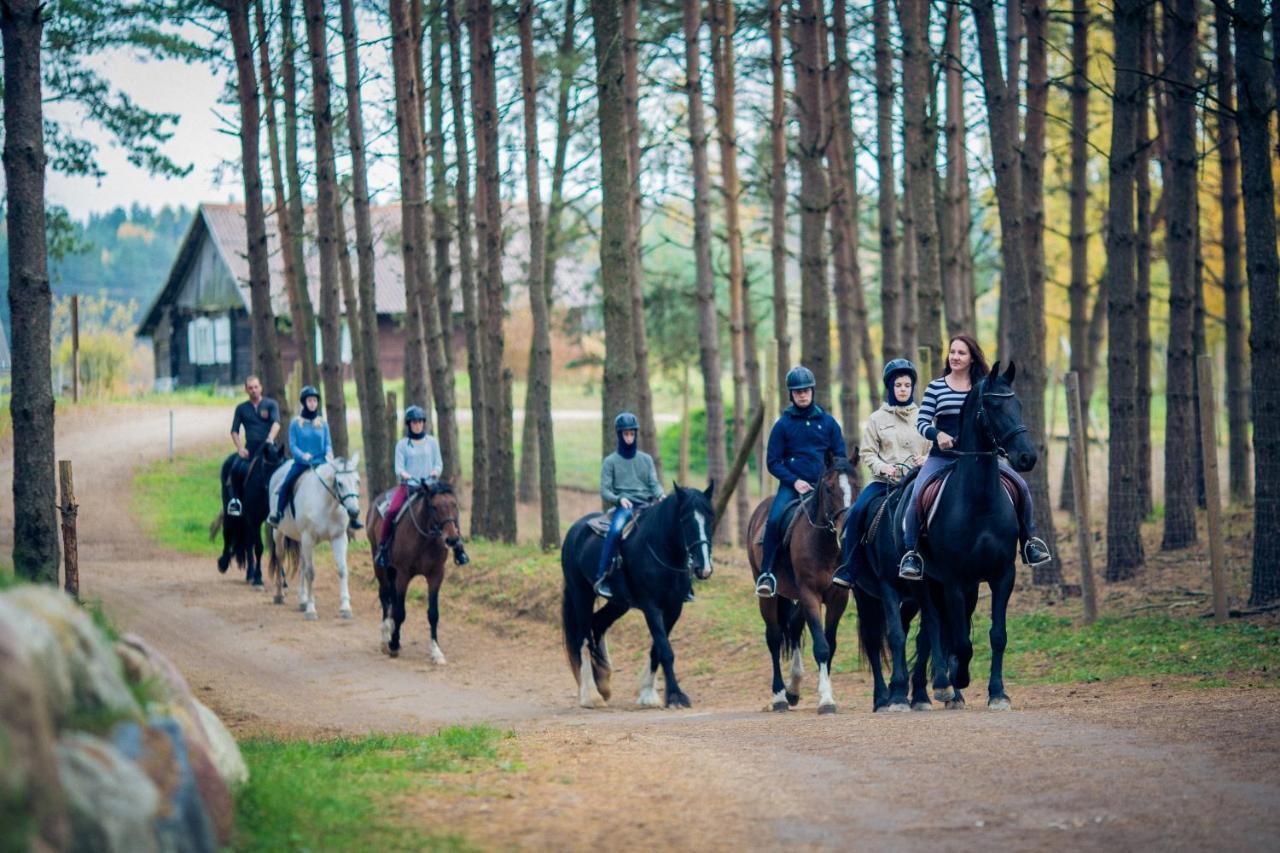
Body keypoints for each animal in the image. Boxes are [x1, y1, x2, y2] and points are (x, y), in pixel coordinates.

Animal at [213, 438, 284, 584]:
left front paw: (283, 580)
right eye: (266, 468)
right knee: (229, 532)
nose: (275, 491)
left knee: (248, 541)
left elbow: (277, 548)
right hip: (231, 512)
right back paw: (225, 564)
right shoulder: (254, 518)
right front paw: (258, 577)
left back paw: (249, 573)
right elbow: (259, 547)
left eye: (280, 468)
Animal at [267, 450, 363, 617]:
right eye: (339, 483)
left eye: (357, 481)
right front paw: (311, 610)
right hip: (279, 533)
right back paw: (279, 595)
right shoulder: (308, 538)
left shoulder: (338, 538)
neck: (327, 503)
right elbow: (311, 573)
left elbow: (342, 570)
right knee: (280, 558)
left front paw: (345, 608)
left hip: (302, 540)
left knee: (302, 564)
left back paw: (302, 600)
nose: (354, 512)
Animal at [368, 481, 463, 660]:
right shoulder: (403, 574)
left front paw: (436, 651)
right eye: (434, 506)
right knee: (385, 596)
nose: (452, 539)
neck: (425, 540)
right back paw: (385, 637)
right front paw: (393, 645)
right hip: (381, 567)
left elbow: (433, 613)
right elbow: (400, 612)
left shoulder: (436, 575)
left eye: (454, 504)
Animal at [563, 481, 716, 706]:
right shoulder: (651, 607)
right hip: (581, 594)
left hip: (619, 603)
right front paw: (675, 696)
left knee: (597, 624)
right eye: (685, 519)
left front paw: (647, 692)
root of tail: (574, 531)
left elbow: (657, 649)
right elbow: (665, 650)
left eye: (710, 518)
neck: (661, 551)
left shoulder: (674, 608)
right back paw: (591, 695)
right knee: (583, 638)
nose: (703, 569)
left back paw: (603, 682)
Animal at [747, 458, 855, 712]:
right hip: (770, 595)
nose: (845, 531)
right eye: (829, 488)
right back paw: (779, 696)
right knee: (774, 637)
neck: (823, 544)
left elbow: (830, 644)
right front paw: (826, 700)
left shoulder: (838, 598)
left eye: (856, 485)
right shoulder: (810, 594)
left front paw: (824, 693)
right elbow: (822, 647)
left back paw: (793, 689)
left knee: (795, 627)